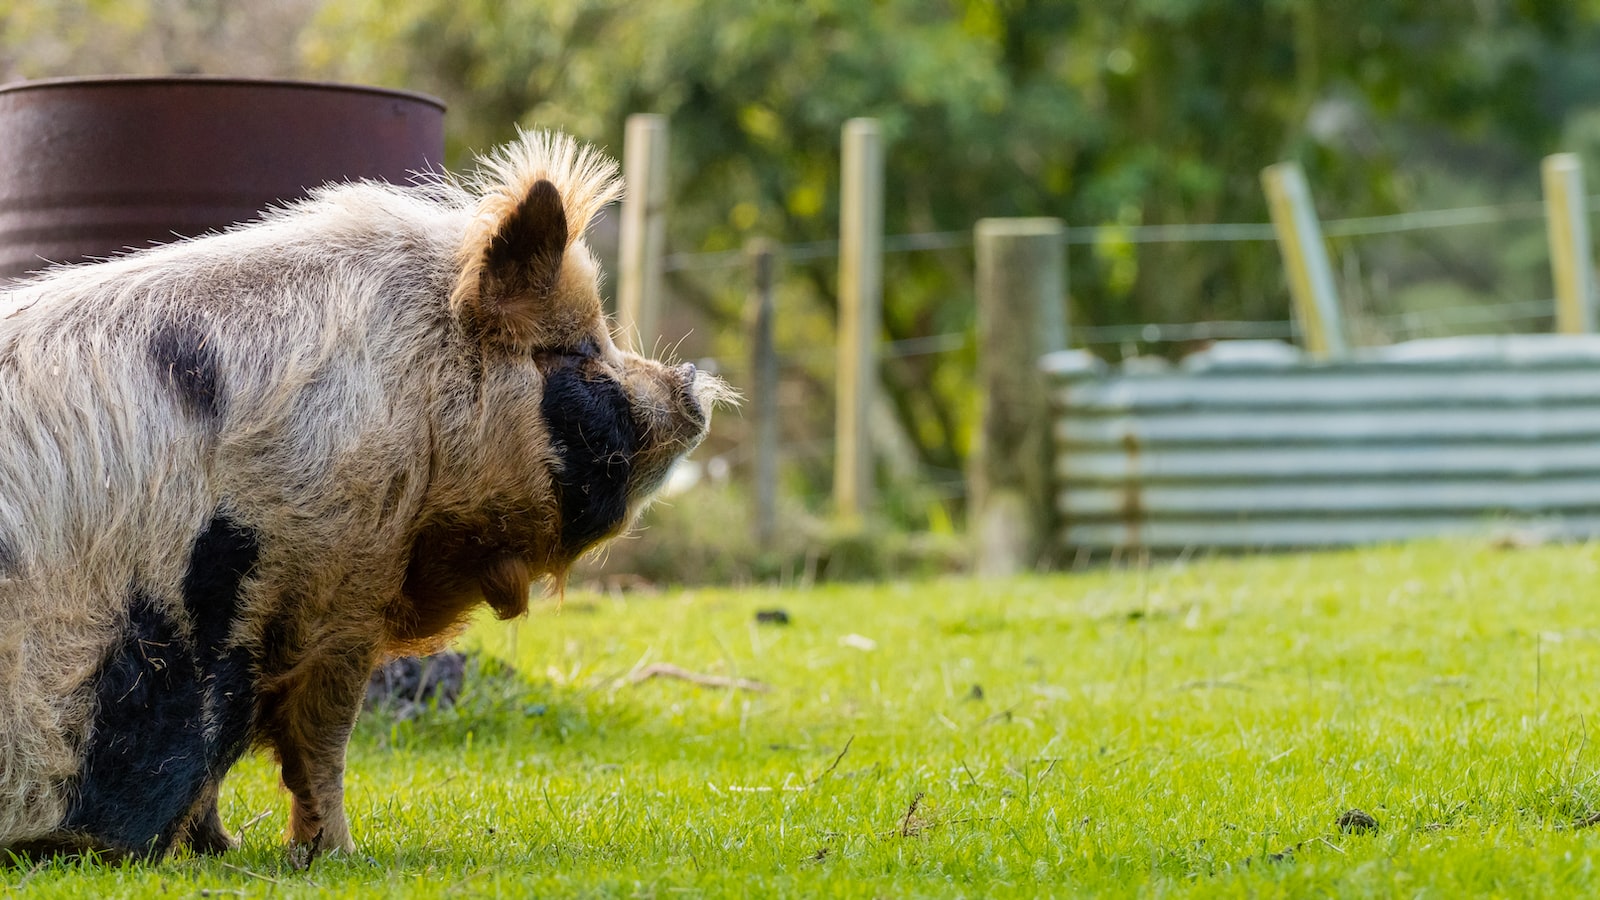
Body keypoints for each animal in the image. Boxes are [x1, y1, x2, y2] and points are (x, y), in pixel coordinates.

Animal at [0, 129, 729, 858]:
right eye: (579, 351)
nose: (692, 381)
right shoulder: (337, 577)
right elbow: (317, 735)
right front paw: (334, 853)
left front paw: (223, 847)